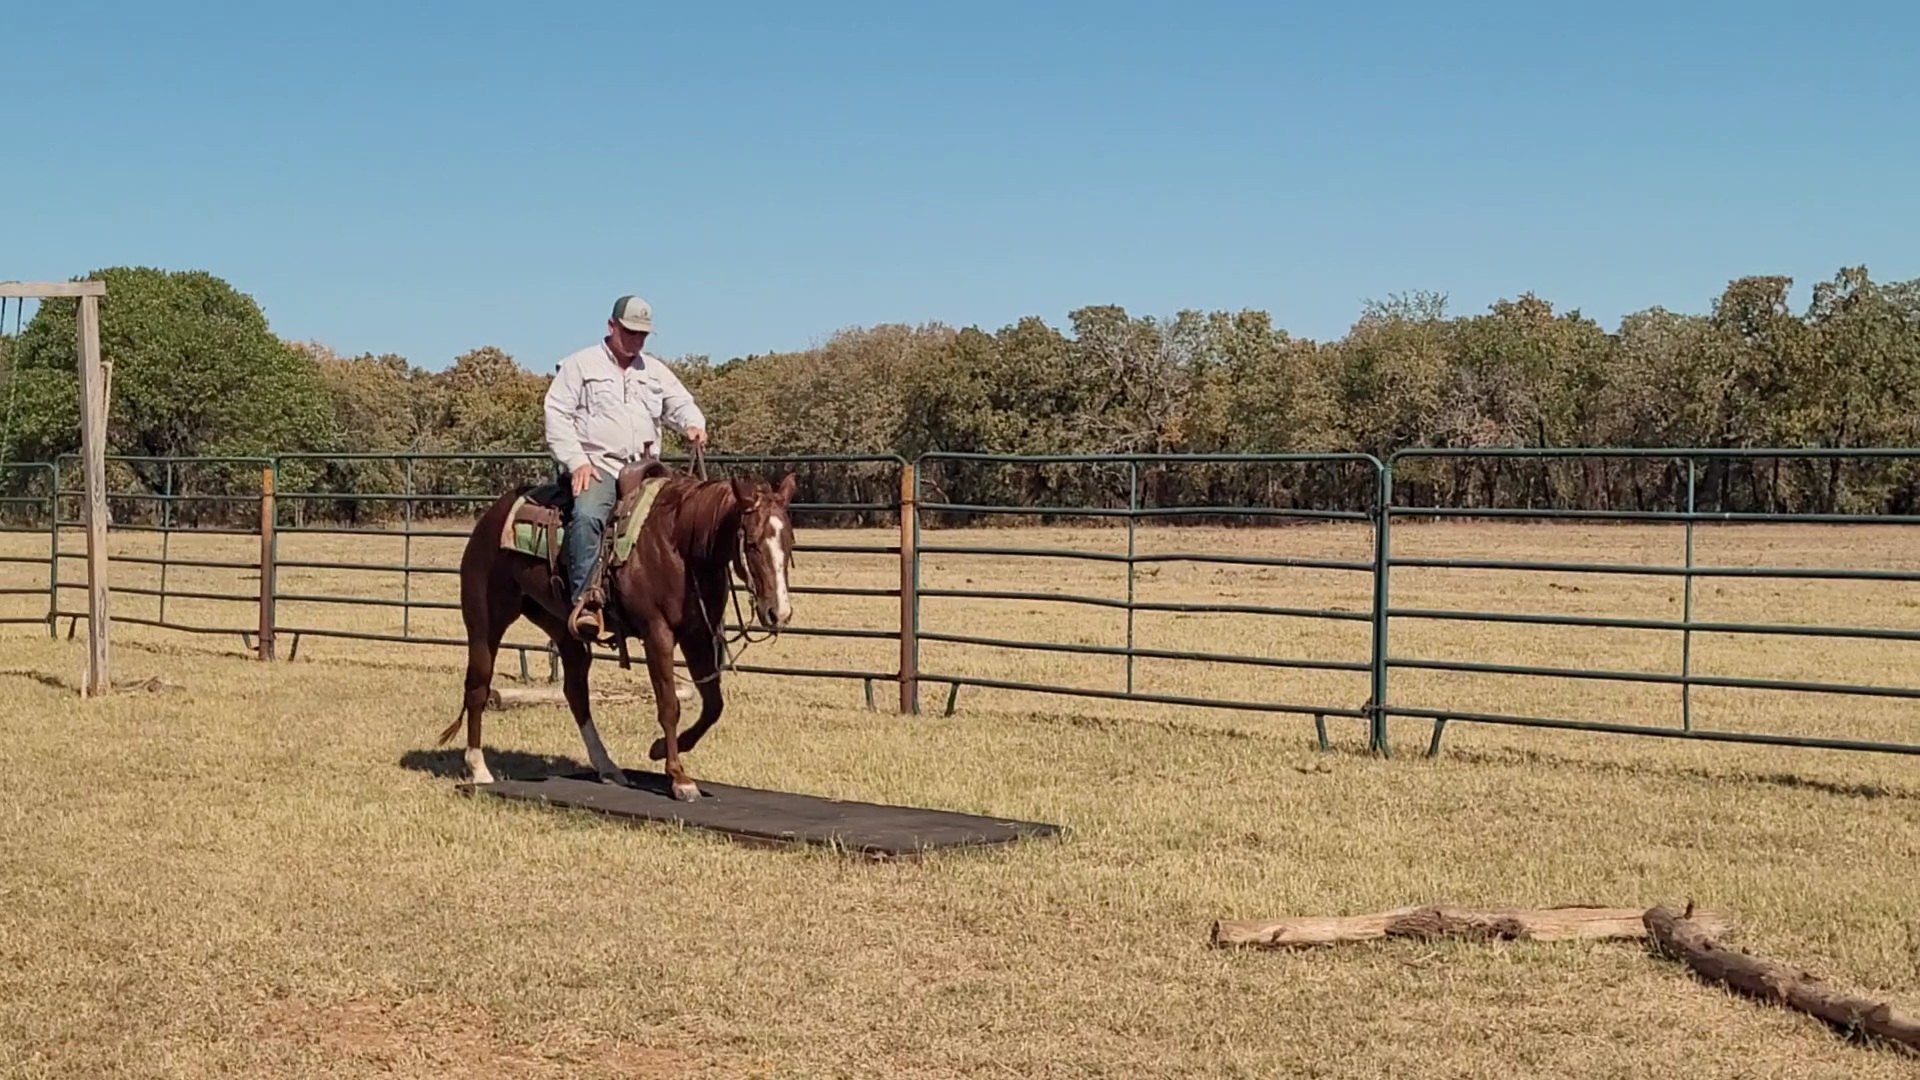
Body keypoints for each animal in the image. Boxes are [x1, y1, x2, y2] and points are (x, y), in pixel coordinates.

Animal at [439, 460, 797, 801]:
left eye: (790, 542)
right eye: (752, 544)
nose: (778, 612)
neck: (679, 544)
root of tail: (492, 516)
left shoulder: (697, 636)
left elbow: (713, 705)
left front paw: (658, 750)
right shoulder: (657, 634)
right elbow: (669, 705)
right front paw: (679, 778)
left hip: (562, 627)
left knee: (575, 692)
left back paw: (607, 767)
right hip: (485, 621)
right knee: (478, 687)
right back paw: (479, 769)